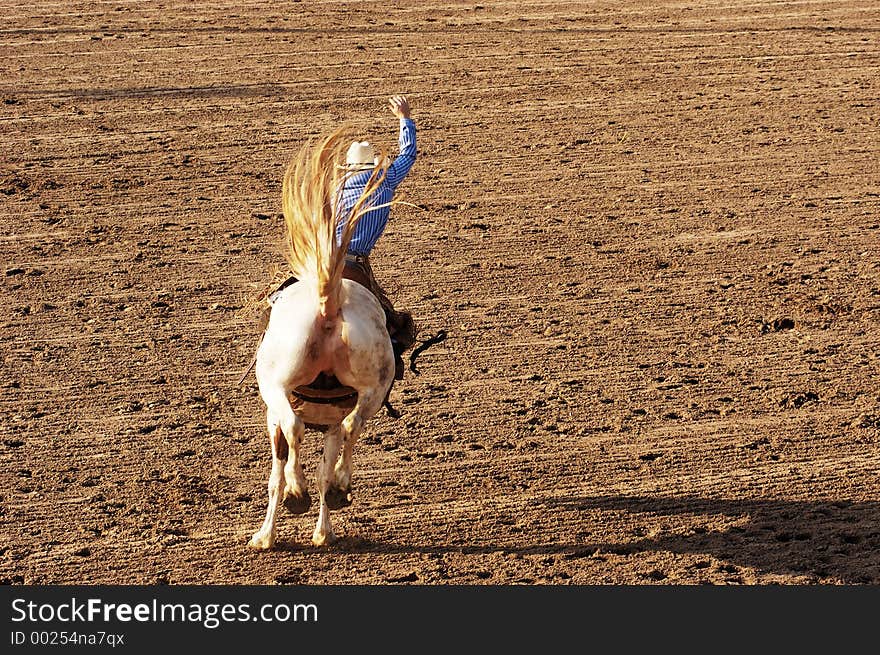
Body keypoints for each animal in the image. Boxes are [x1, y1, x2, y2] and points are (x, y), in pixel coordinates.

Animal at [246, 132, 394, 548]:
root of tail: (329, 307)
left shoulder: (272, 418)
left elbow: (275, 475)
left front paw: (265, 535)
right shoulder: (328, 423)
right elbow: (324, 466)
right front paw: (323, 531)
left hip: (277, 387)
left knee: (295, 429)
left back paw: (300, 493)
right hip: (373, 388)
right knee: (352, 425)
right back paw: (340, 489)